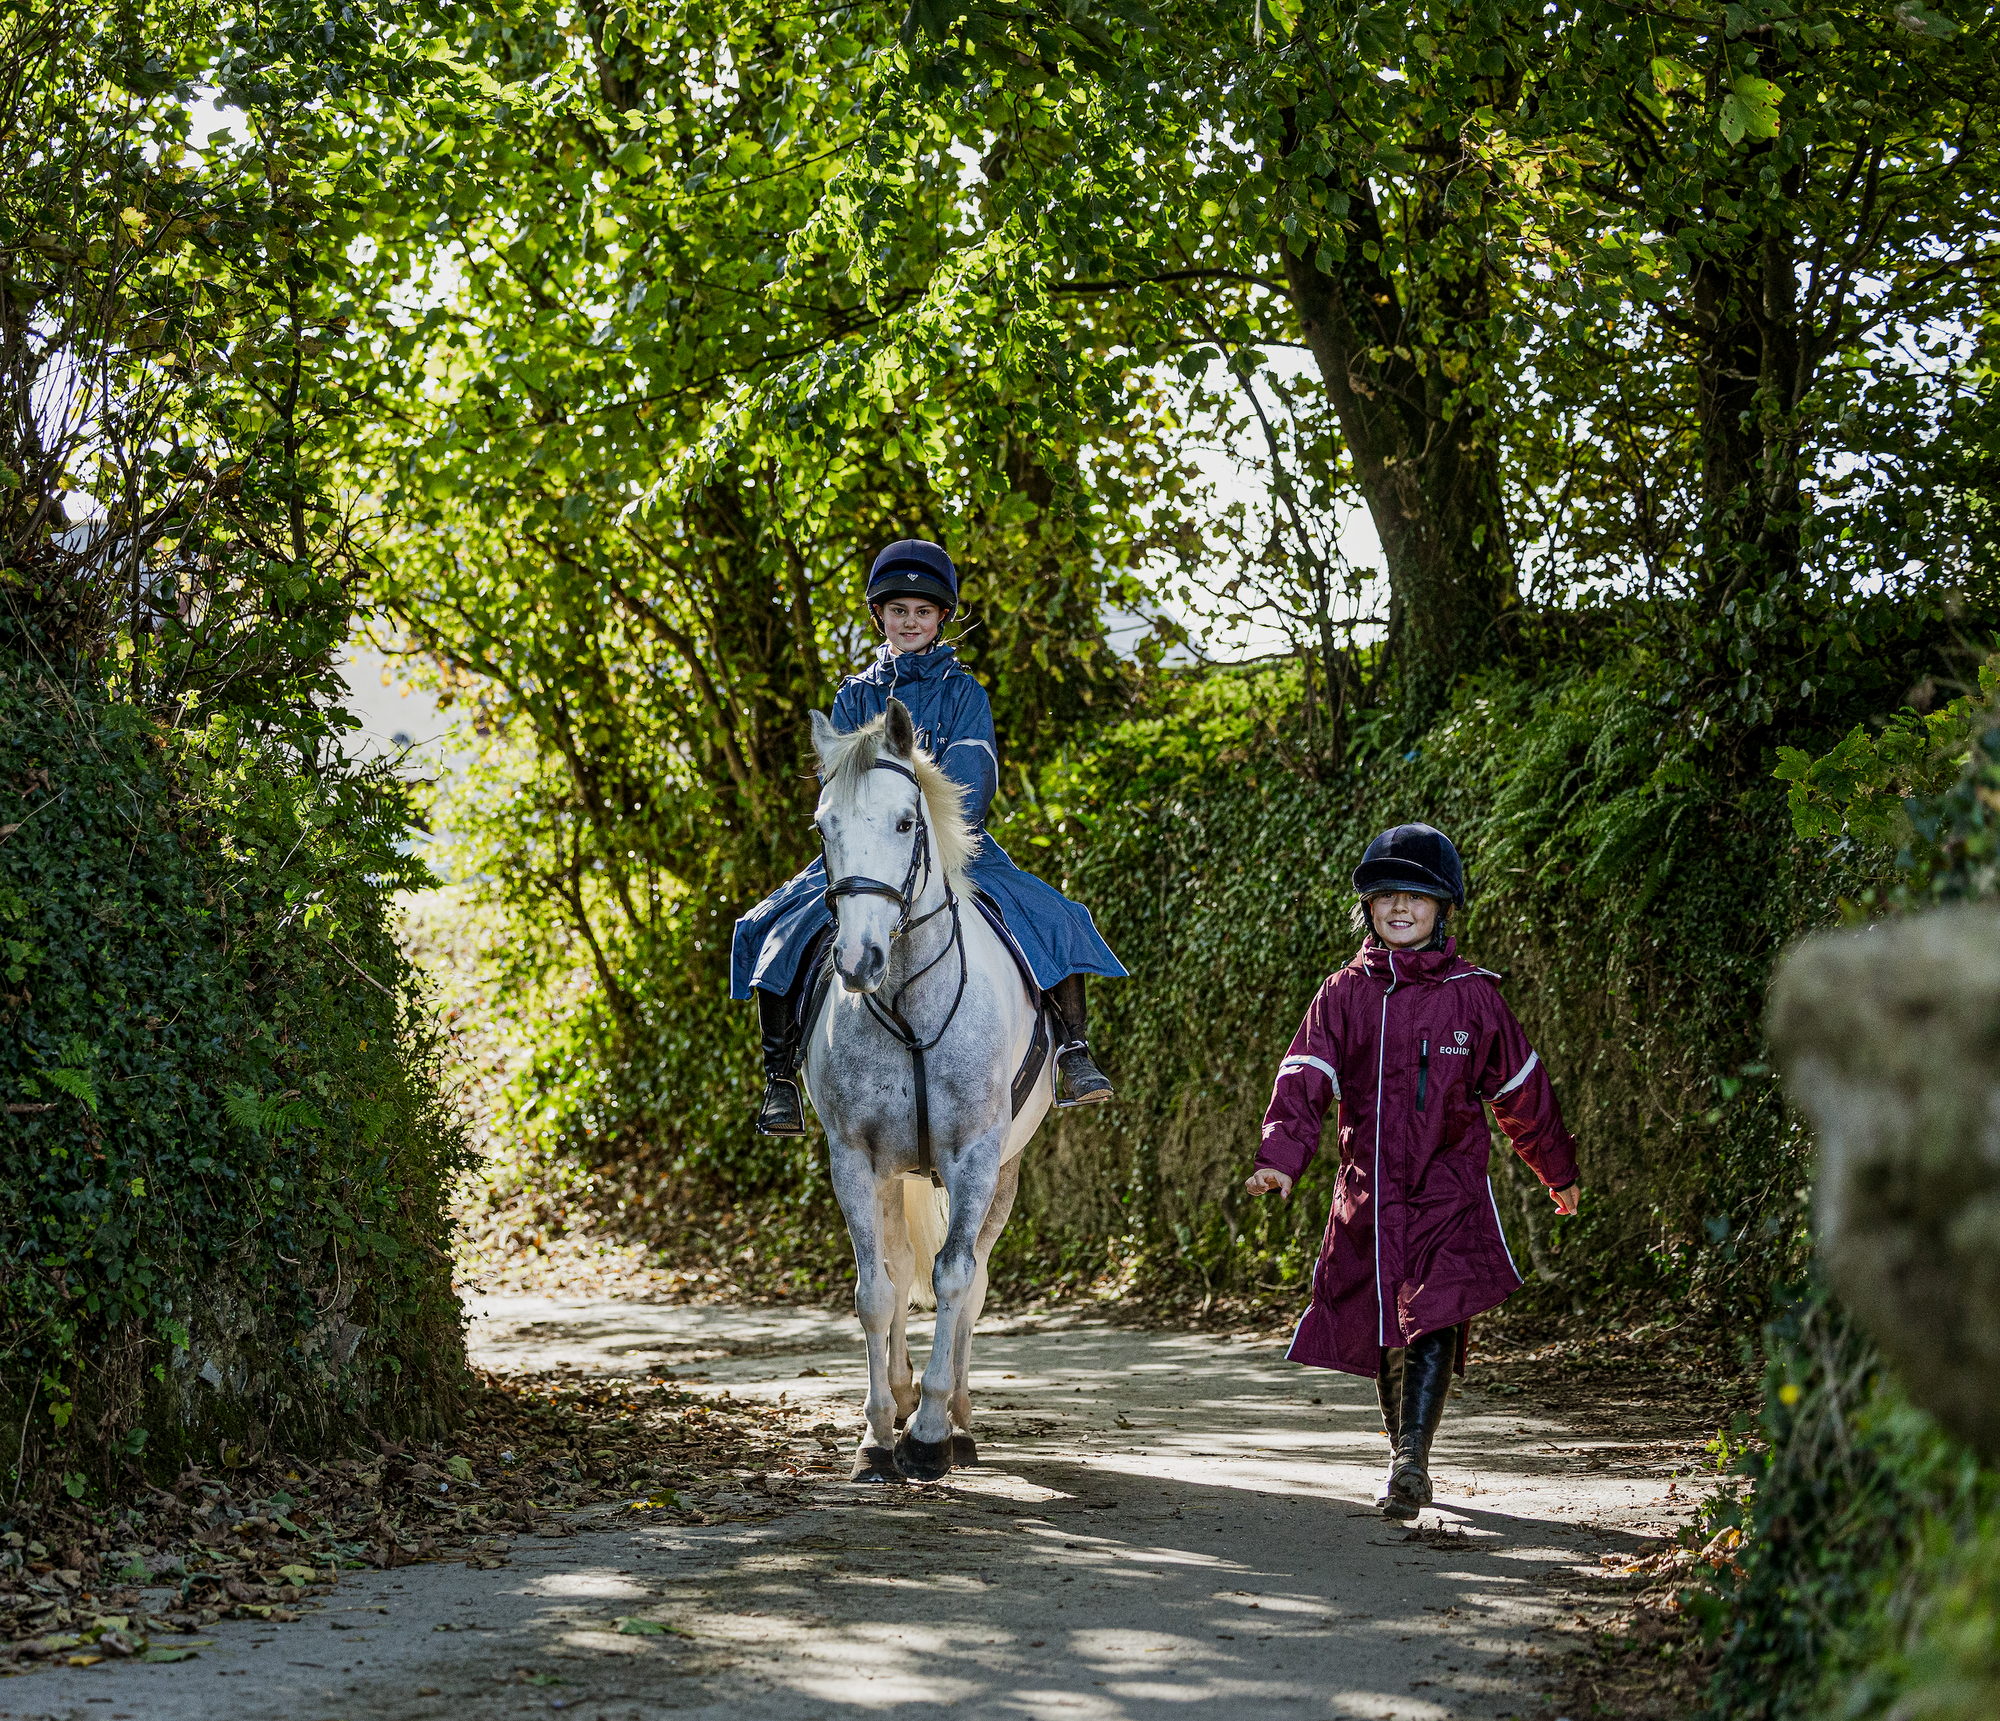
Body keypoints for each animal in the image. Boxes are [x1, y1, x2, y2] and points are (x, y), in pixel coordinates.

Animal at [800, 700, 1056, 1480]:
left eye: (906, 822)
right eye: (824, 826)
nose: (858, 960)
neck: (911, 996)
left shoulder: (974, 1156)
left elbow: (954, 1280)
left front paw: (932, 1432)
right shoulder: (854, 1159)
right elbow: (876, 1289)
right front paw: (879, 1433)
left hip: (1003, 1172)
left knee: (972, 1282)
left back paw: (961, 1417)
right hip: (896, 1177)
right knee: (901, 1263)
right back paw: (904, 1390)